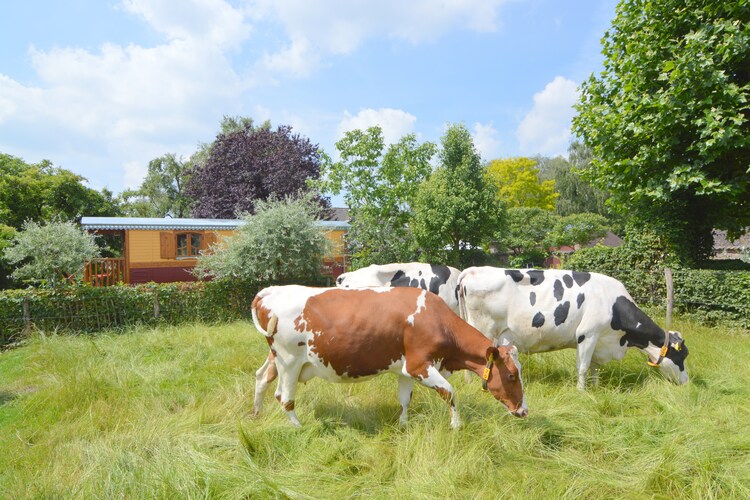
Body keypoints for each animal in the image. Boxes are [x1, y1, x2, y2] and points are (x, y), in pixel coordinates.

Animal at [253, 284, 528, 428]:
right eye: (512, 376)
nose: (524, 411)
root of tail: (271, 291)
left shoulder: (405, 369)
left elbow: (405, 399)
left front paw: (403, 425)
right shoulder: (420, 365)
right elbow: (450, 392)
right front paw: (456, 426)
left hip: (276, 358)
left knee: (261, 378)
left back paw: (256, 414)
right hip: (289, 361)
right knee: (284, 398)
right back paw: (299, 427)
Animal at [456, 266, 692, 390]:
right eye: (681, 357)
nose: (686, 382)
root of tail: (472, 270)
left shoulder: (600, 341)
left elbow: (595, 367)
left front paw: (596, 388)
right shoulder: (588, 334)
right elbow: (583, 367)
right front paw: (582, 391)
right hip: (484, 329)